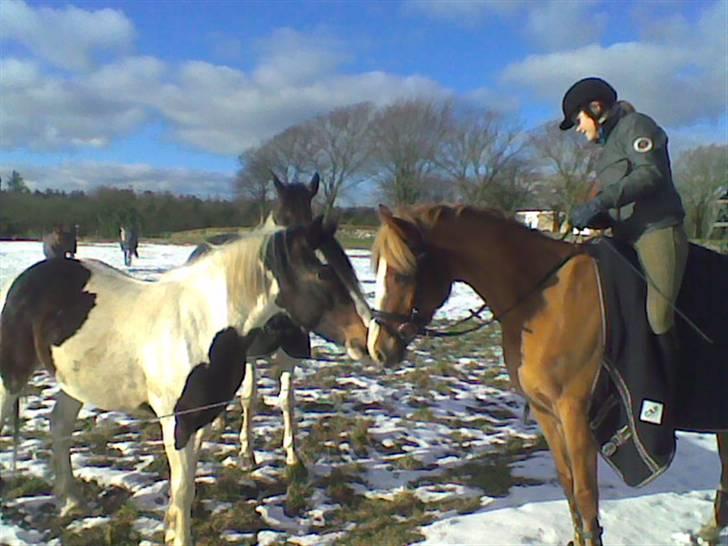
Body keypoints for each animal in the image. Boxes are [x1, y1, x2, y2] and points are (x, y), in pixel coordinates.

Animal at [1, 217, 370, 544]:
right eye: (322, 272)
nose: (368, 340)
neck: (201, 325)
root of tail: (30, 277)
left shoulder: (199, 421)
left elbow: (186, 486)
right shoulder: (176, 424)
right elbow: (181, 488)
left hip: (74, 383)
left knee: (59, 426)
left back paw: (71, 501)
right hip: (12, 377)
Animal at [370, 203, 728, 544]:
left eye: (401, 274)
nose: (378, 348)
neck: (542, 299)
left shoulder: (575, 414)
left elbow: (585, 494)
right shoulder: (546, 412)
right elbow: (567, 485)